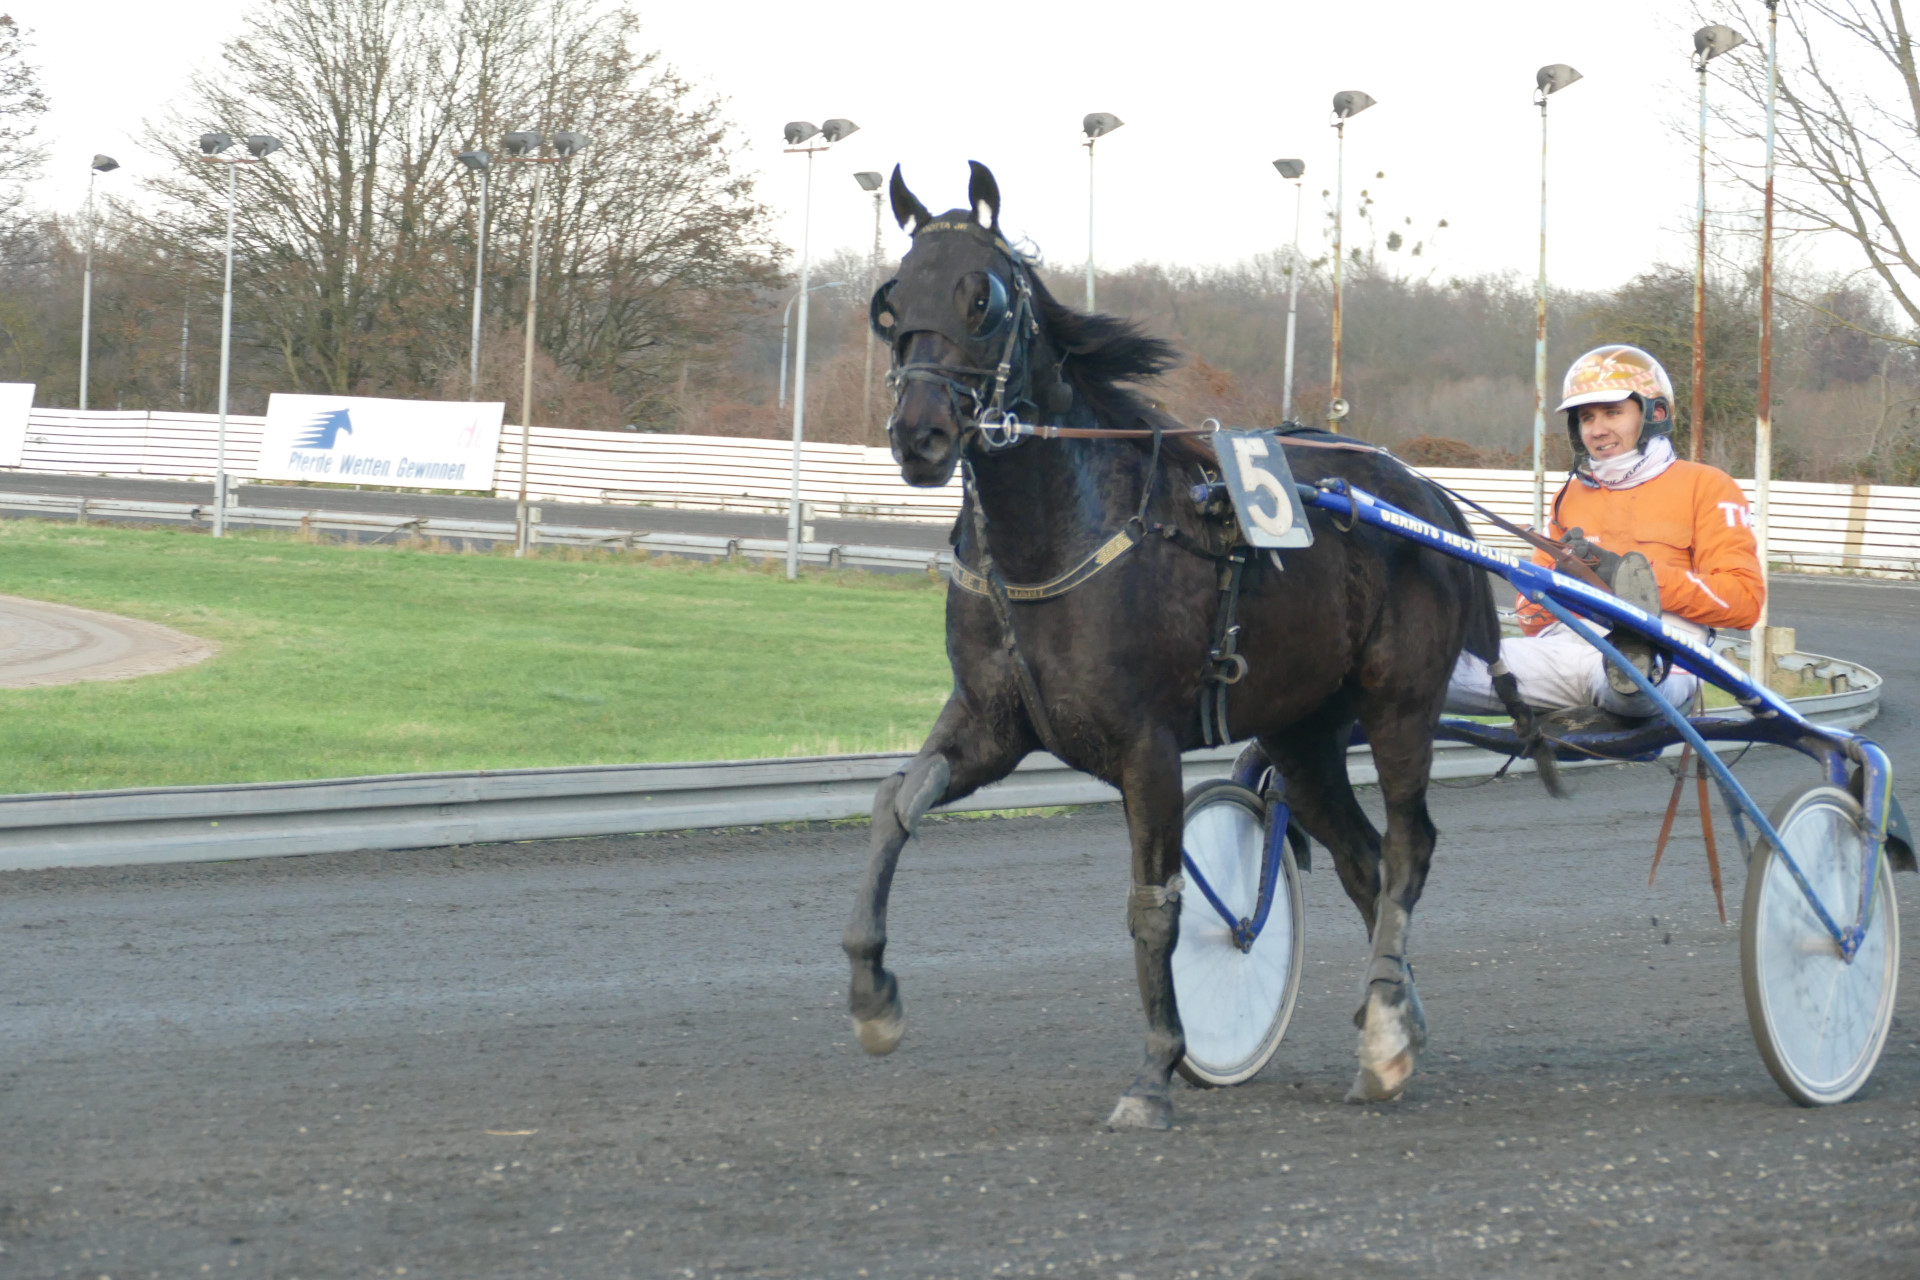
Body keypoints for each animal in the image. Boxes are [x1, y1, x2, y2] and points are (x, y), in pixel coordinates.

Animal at [841, 161, 1543, 1128]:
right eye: (890, 300)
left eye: (980, 297)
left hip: (1400, 702)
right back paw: (1392, 1013)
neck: (1061, 531)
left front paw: (1157, 1071)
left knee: (1409, 845)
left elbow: (1155, 904)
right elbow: (891, 805)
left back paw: (1386, 1033)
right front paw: (873, 996)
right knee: (1363, 858)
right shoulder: (993, 721)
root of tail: (1423, 493)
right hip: (1303, 730)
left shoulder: (1147, 744)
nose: (921, 435)